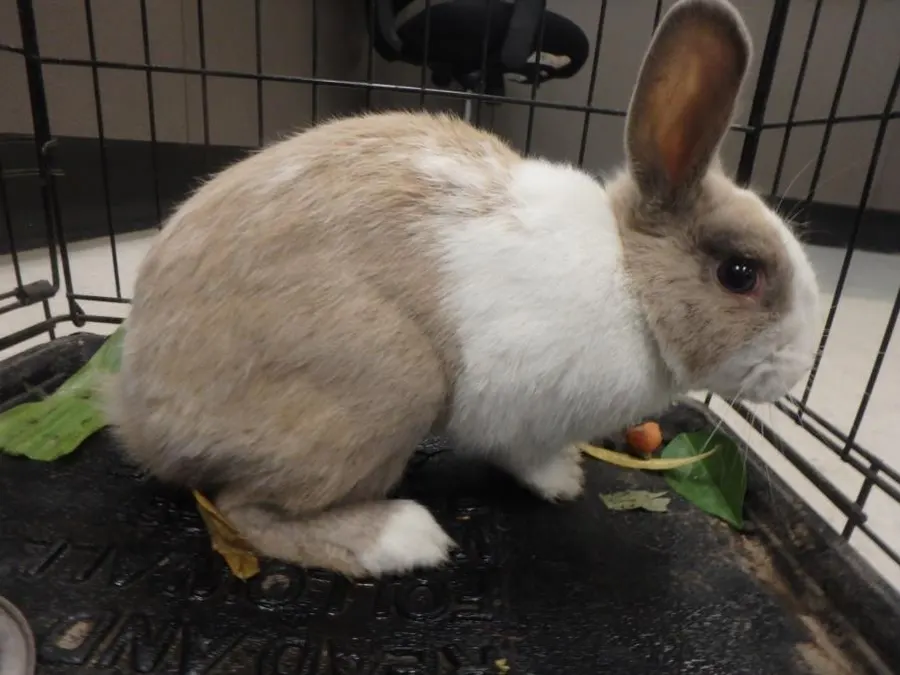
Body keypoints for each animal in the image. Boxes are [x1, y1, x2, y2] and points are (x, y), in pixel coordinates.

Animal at [105, 0, 821, 579]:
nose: (796, 368)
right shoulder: (516, 406)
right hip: (387, 384)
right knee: (243, 509)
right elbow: (520, 452)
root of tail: (139, 413)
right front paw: (562, 481)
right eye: (740, 274)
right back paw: (402, 538)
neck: (631, 281)